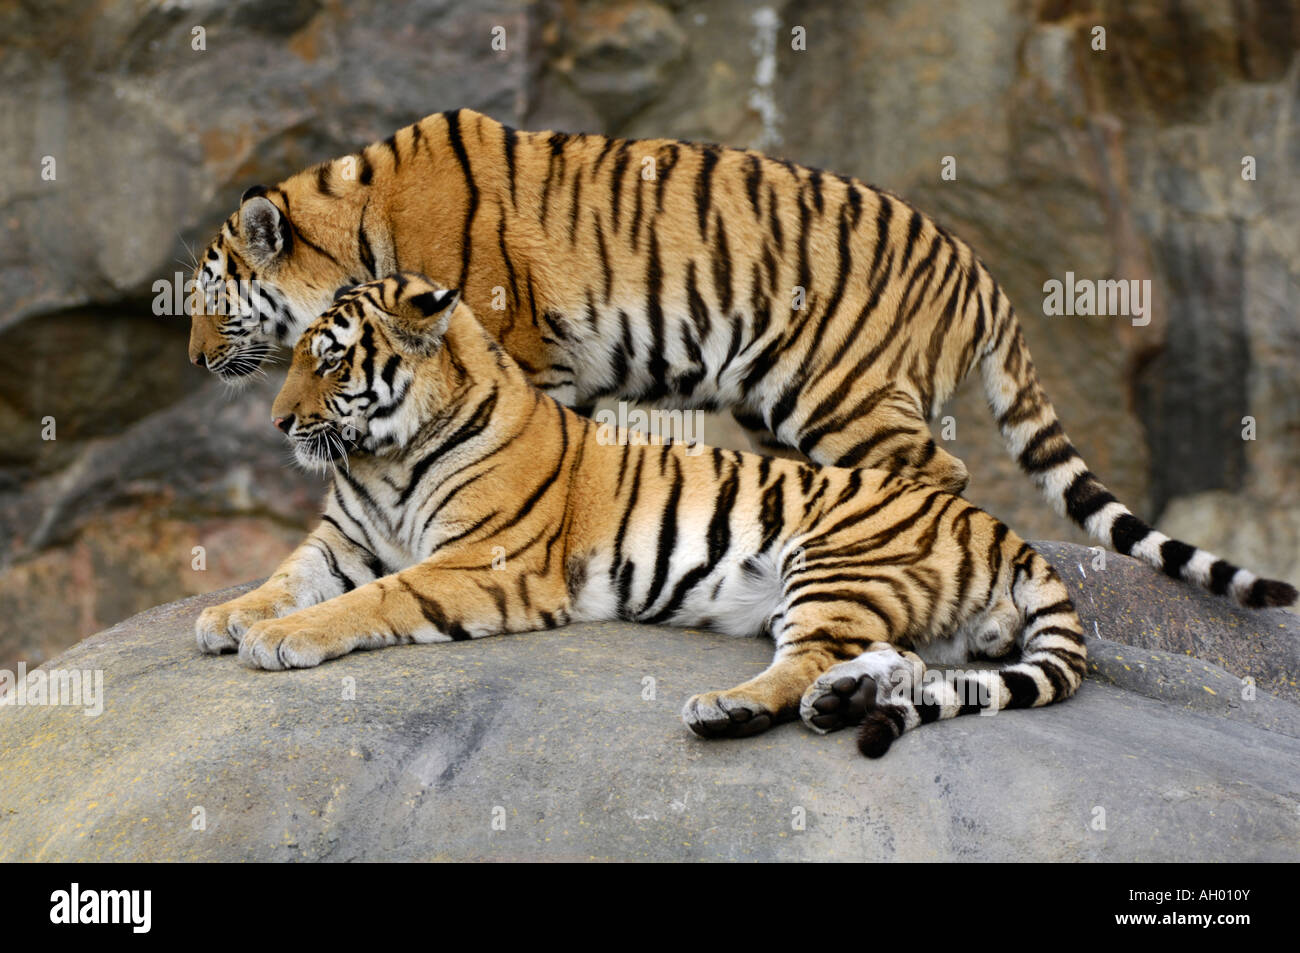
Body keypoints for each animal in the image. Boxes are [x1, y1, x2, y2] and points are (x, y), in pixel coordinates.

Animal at [189, 105, 1300, 608]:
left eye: (205, 299)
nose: (197, 359)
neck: (352, 228)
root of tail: (977, 268)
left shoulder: (514, 345)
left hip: (841, 389)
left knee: (938, 472)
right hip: (780, 402)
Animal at [197, 275, 1092, 759]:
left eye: (330, 360)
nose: (278, 422)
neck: (384, 453)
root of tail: (1007, 532)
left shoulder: (486, 561)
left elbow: (372, 598)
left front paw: (279, 637)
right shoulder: (344, 537)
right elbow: (289, 575)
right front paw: (226, 615)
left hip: (837, 562)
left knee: (808, 659)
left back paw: (729, 708)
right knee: (892, 658)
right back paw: (837, 701)